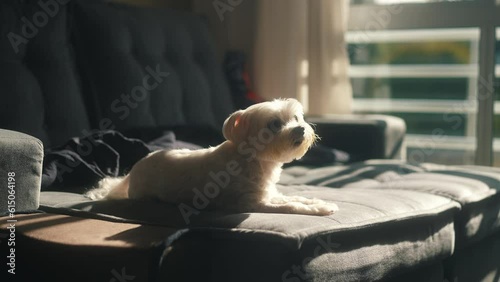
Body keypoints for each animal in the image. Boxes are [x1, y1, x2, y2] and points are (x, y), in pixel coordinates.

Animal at [88, 98, 340, 217]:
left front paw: (317, 202)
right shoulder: (250, 203)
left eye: (296, 118)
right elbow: (291, 206)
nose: (301, 129)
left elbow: (294, 198)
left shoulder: (269, 193)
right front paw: (318, 210)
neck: (255, 160)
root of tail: (133, 171)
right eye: (274, 124)